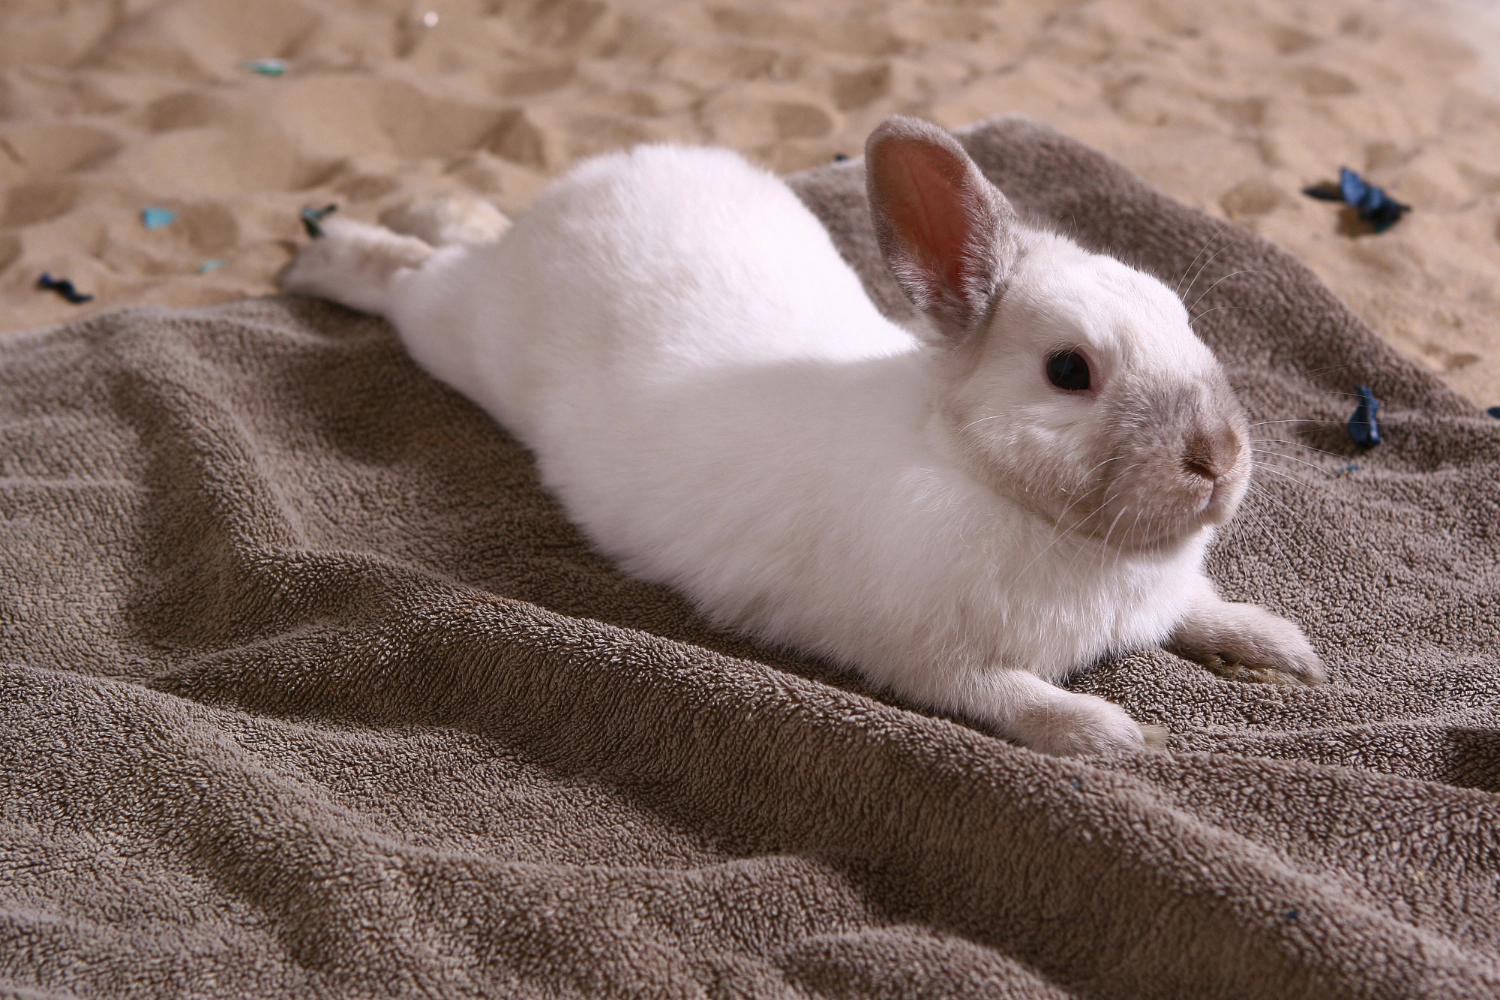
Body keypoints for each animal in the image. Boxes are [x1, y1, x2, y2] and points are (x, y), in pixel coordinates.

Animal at [279, 114, 1325, 757]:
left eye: (1182, 315)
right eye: (1069, 371)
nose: (1219, 461)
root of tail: (575, 190)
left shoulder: (1164, 597)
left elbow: (1201, 612)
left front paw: (1282, 650)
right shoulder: (930, 661)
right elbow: (1020, 700)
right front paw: (1116, 733)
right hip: (460, 337)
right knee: (409, 279)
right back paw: (319, 259)